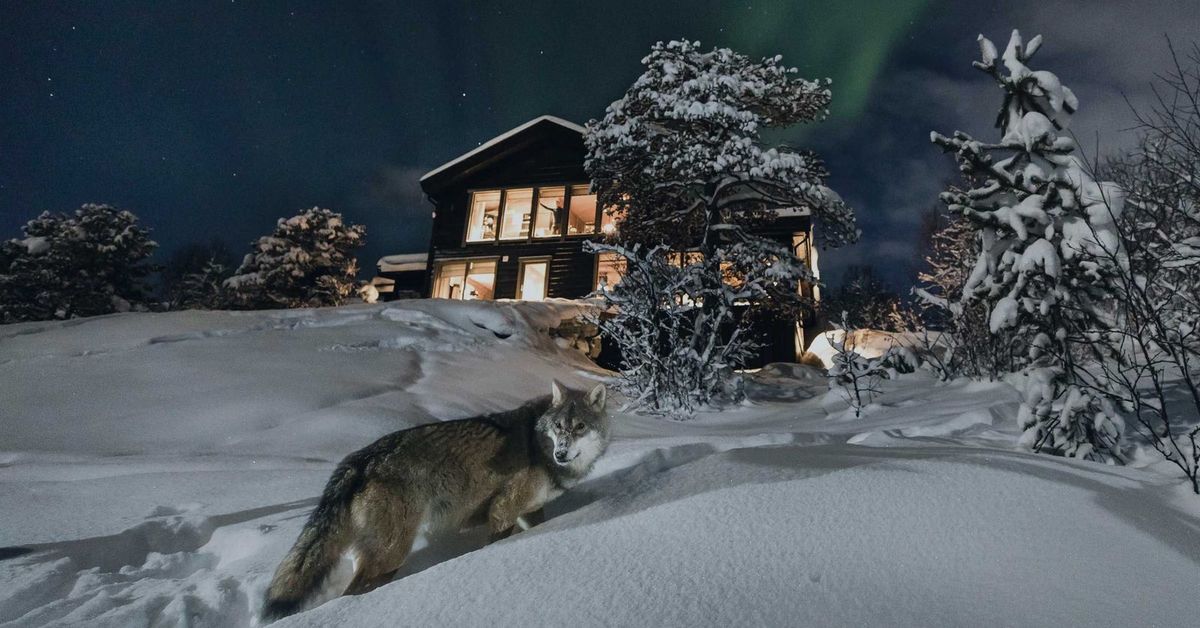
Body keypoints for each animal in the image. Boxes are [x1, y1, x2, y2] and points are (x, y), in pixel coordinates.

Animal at [256, 381, 604, 619]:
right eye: (558, 427)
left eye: (579, 427)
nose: (561, 454)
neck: (537, 443)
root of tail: (359, 459)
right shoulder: (502, 511)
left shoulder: (530, 511)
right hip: (392, 554)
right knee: (350, 594)